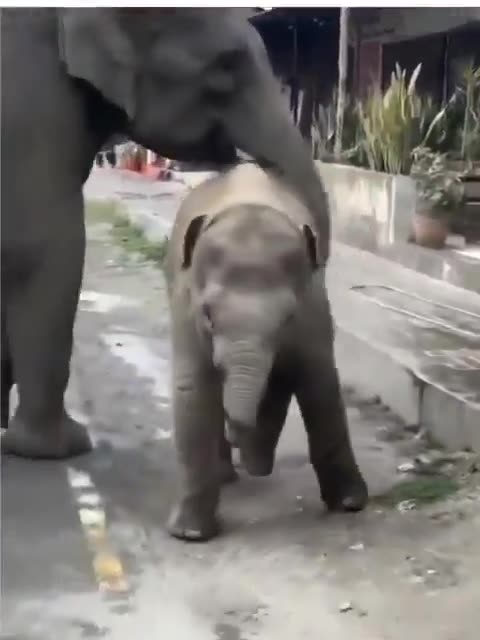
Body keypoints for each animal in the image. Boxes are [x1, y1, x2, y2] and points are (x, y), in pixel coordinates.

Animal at [164, 163, 367, 541]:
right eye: (208, 315)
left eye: (287, 318)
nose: (237, 434)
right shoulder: (184, 305)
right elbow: (195, 388)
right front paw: (190, 534)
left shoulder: (313, 307)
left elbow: (320, 385)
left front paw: (350, 504)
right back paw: (230, 475)